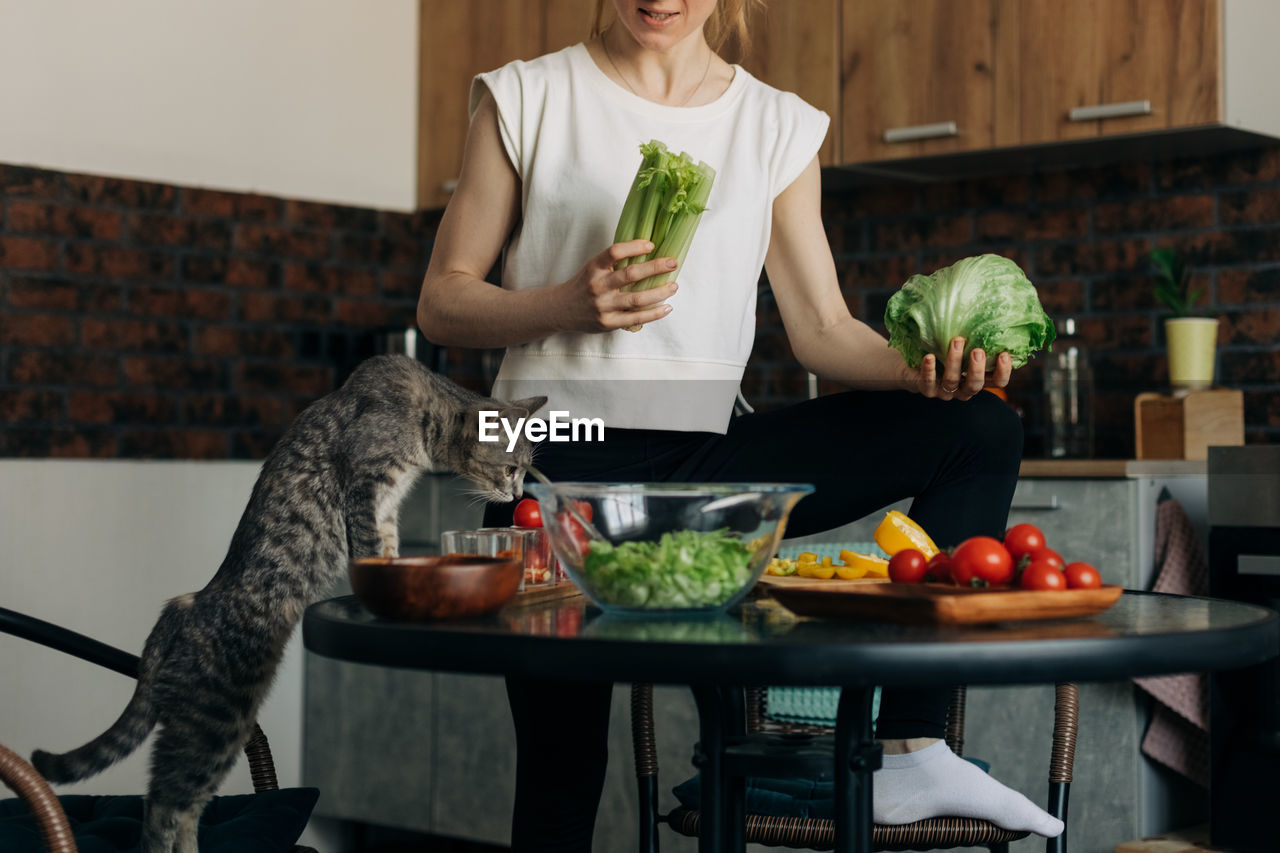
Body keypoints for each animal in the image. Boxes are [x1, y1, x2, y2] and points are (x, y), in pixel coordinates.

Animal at [33, 350, 545, 850]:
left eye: (525, 469)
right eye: (510, 468)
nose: (520, 492)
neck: (422, 411)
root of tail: (181, 608)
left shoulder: (387, 508)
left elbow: (388, 548)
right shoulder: (366, 487)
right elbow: (368, 552)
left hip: (217, 725)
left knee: (185, 805)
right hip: (212, 716)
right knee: (162, 807)